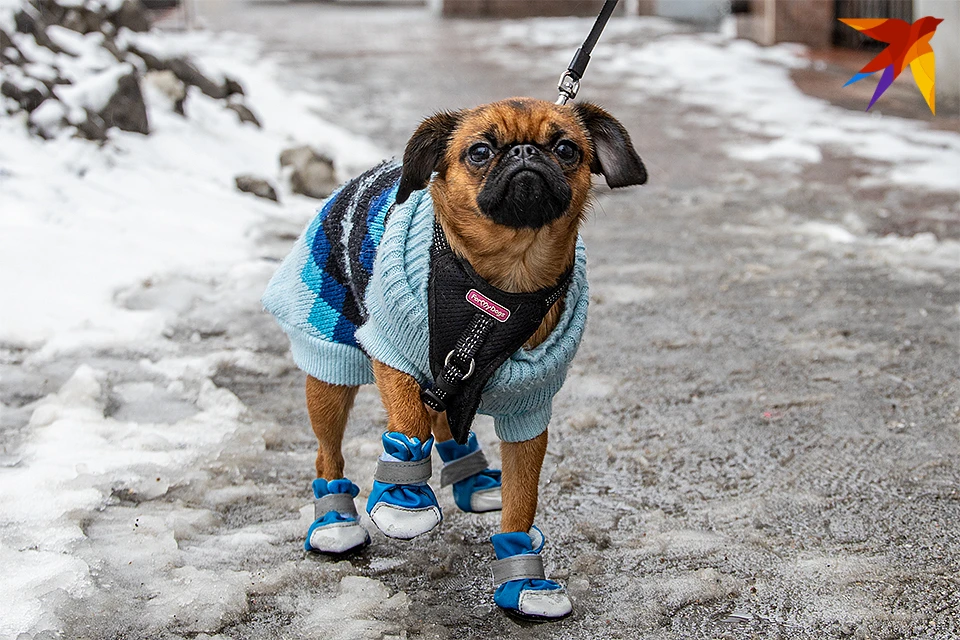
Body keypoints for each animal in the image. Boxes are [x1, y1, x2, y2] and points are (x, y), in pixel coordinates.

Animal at [262, 97, 644, 624]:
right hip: (330, 372)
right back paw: (335, 522)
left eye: (567, 149)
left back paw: (472, 476)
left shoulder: (529, 411)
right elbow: (408, 421)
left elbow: (523, 498)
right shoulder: (393, 351)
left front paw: (523, 580)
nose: (525, 151)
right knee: (328, 452)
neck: (505, 282)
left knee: (444, 418)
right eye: (480, 151)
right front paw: (404, 501)